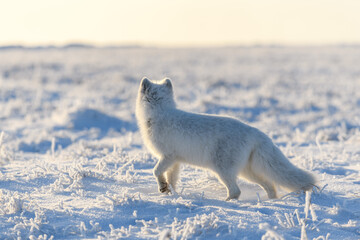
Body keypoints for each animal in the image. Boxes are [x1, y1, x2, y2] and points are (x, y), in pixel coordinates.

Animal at [136, 77, 316, 201]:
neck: (160, 112)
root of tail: (254, 131)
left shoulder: (167, 156)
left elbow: (156, 171)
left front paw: (163, 187)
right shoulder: (175, 160)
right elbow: (172, 179)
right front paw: (170, 193)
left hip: (222, 169)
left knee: (236, 191)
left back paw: (227, 202)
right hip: (247, 172)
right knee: (270, 185)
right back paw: (271, 201)